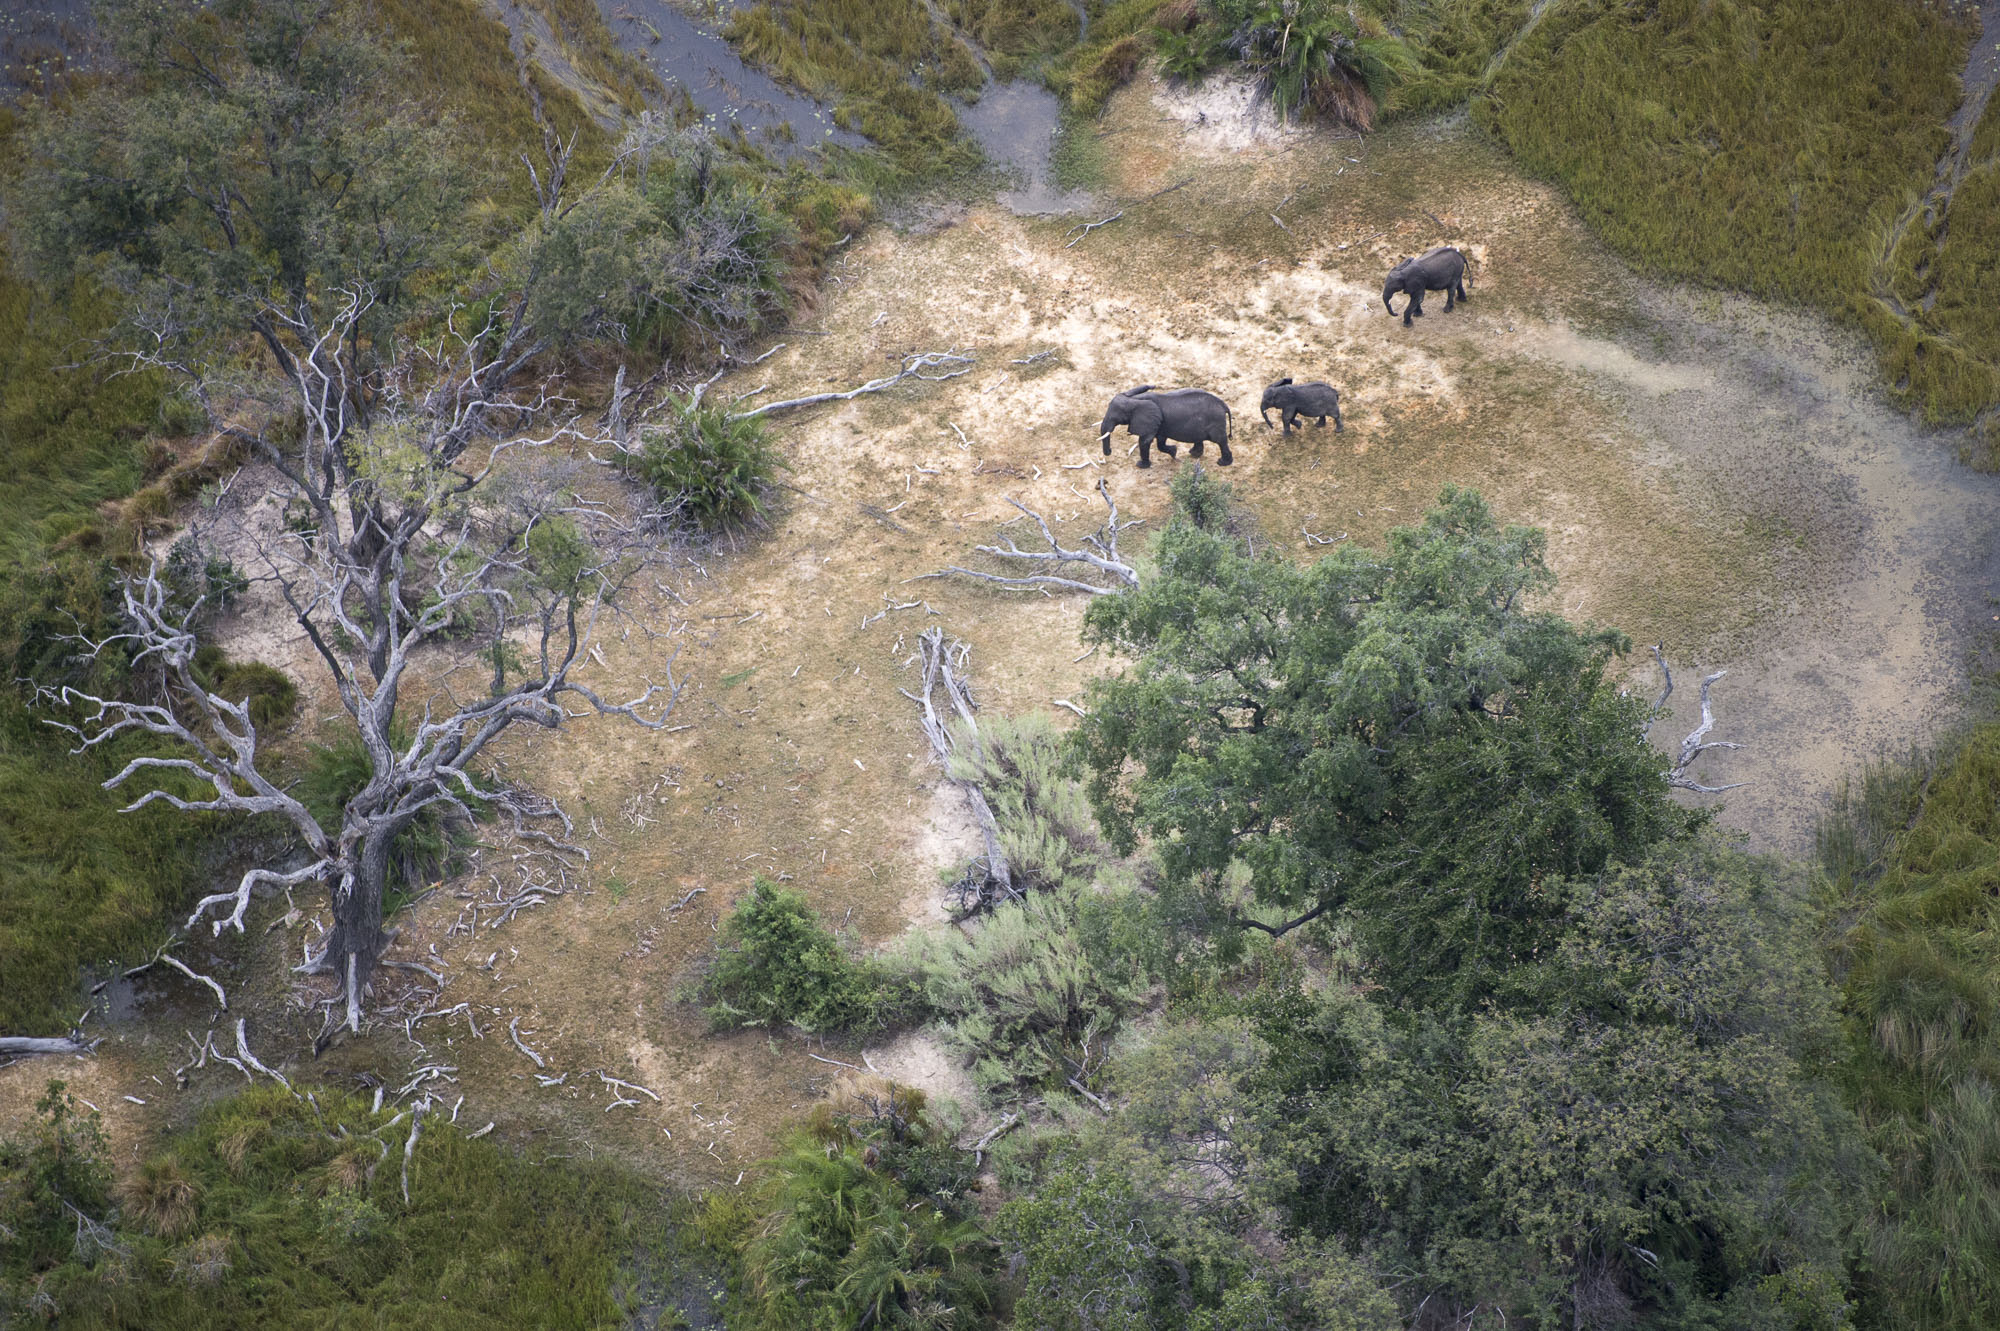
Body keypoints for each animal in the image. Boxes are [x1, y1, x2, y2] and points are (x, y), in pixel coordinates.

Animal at [1098, 385, 1233, 468]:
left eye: (1116, 416)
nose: (1109, 452)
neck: (1135, 399)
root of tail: (1224, 405)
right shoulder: (1160, 423)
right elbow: (1160, 442)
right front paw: (1174, 452)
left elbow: (1145, 441)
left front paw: (1140, 465)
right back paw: (1193, 454)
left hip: (1216, 421)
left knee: (1221, 441)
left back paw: (1222, 463)